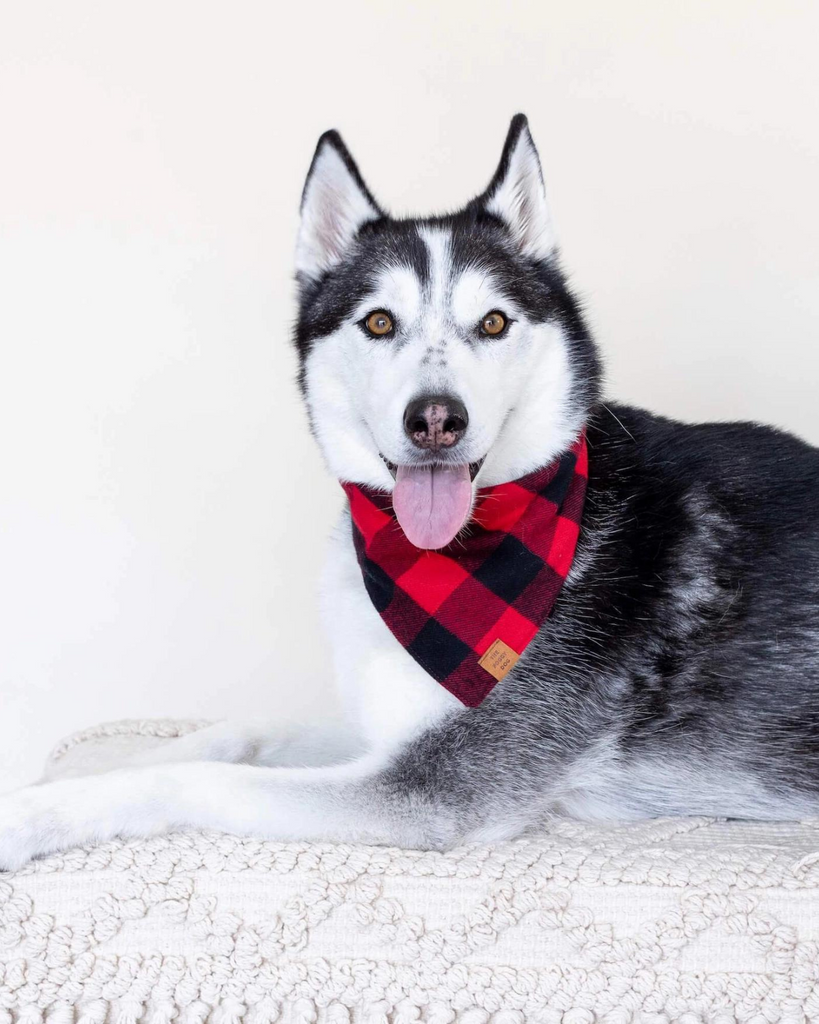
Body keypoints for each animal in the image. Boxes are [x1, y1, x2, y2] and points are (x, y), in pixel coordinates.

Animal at [1, 114, 818, 872]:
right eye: (378, 320)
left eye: (493, 321)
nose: (434, 419)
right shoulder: (380, 724)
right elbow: (238, 729)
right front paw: (82, 768)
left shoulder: (431, 784)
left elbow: (192, 778)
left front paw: (36, 814)